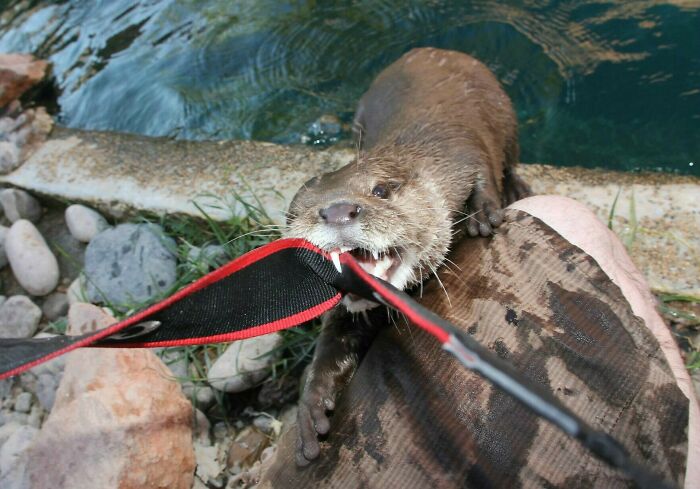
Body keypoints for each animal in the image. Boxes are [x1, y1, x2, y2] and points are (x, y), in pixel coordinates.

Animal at [284, 47, 531, 465]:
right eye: (297, 212)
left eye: (380, 191)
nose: (336, 211)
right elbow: (334, 344)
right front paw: (312, 403)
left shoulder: (461, 149)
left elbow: (483, 166)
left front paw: (483, 213)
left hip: (505, 111)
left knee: (509, 158)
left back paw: (515, 187)